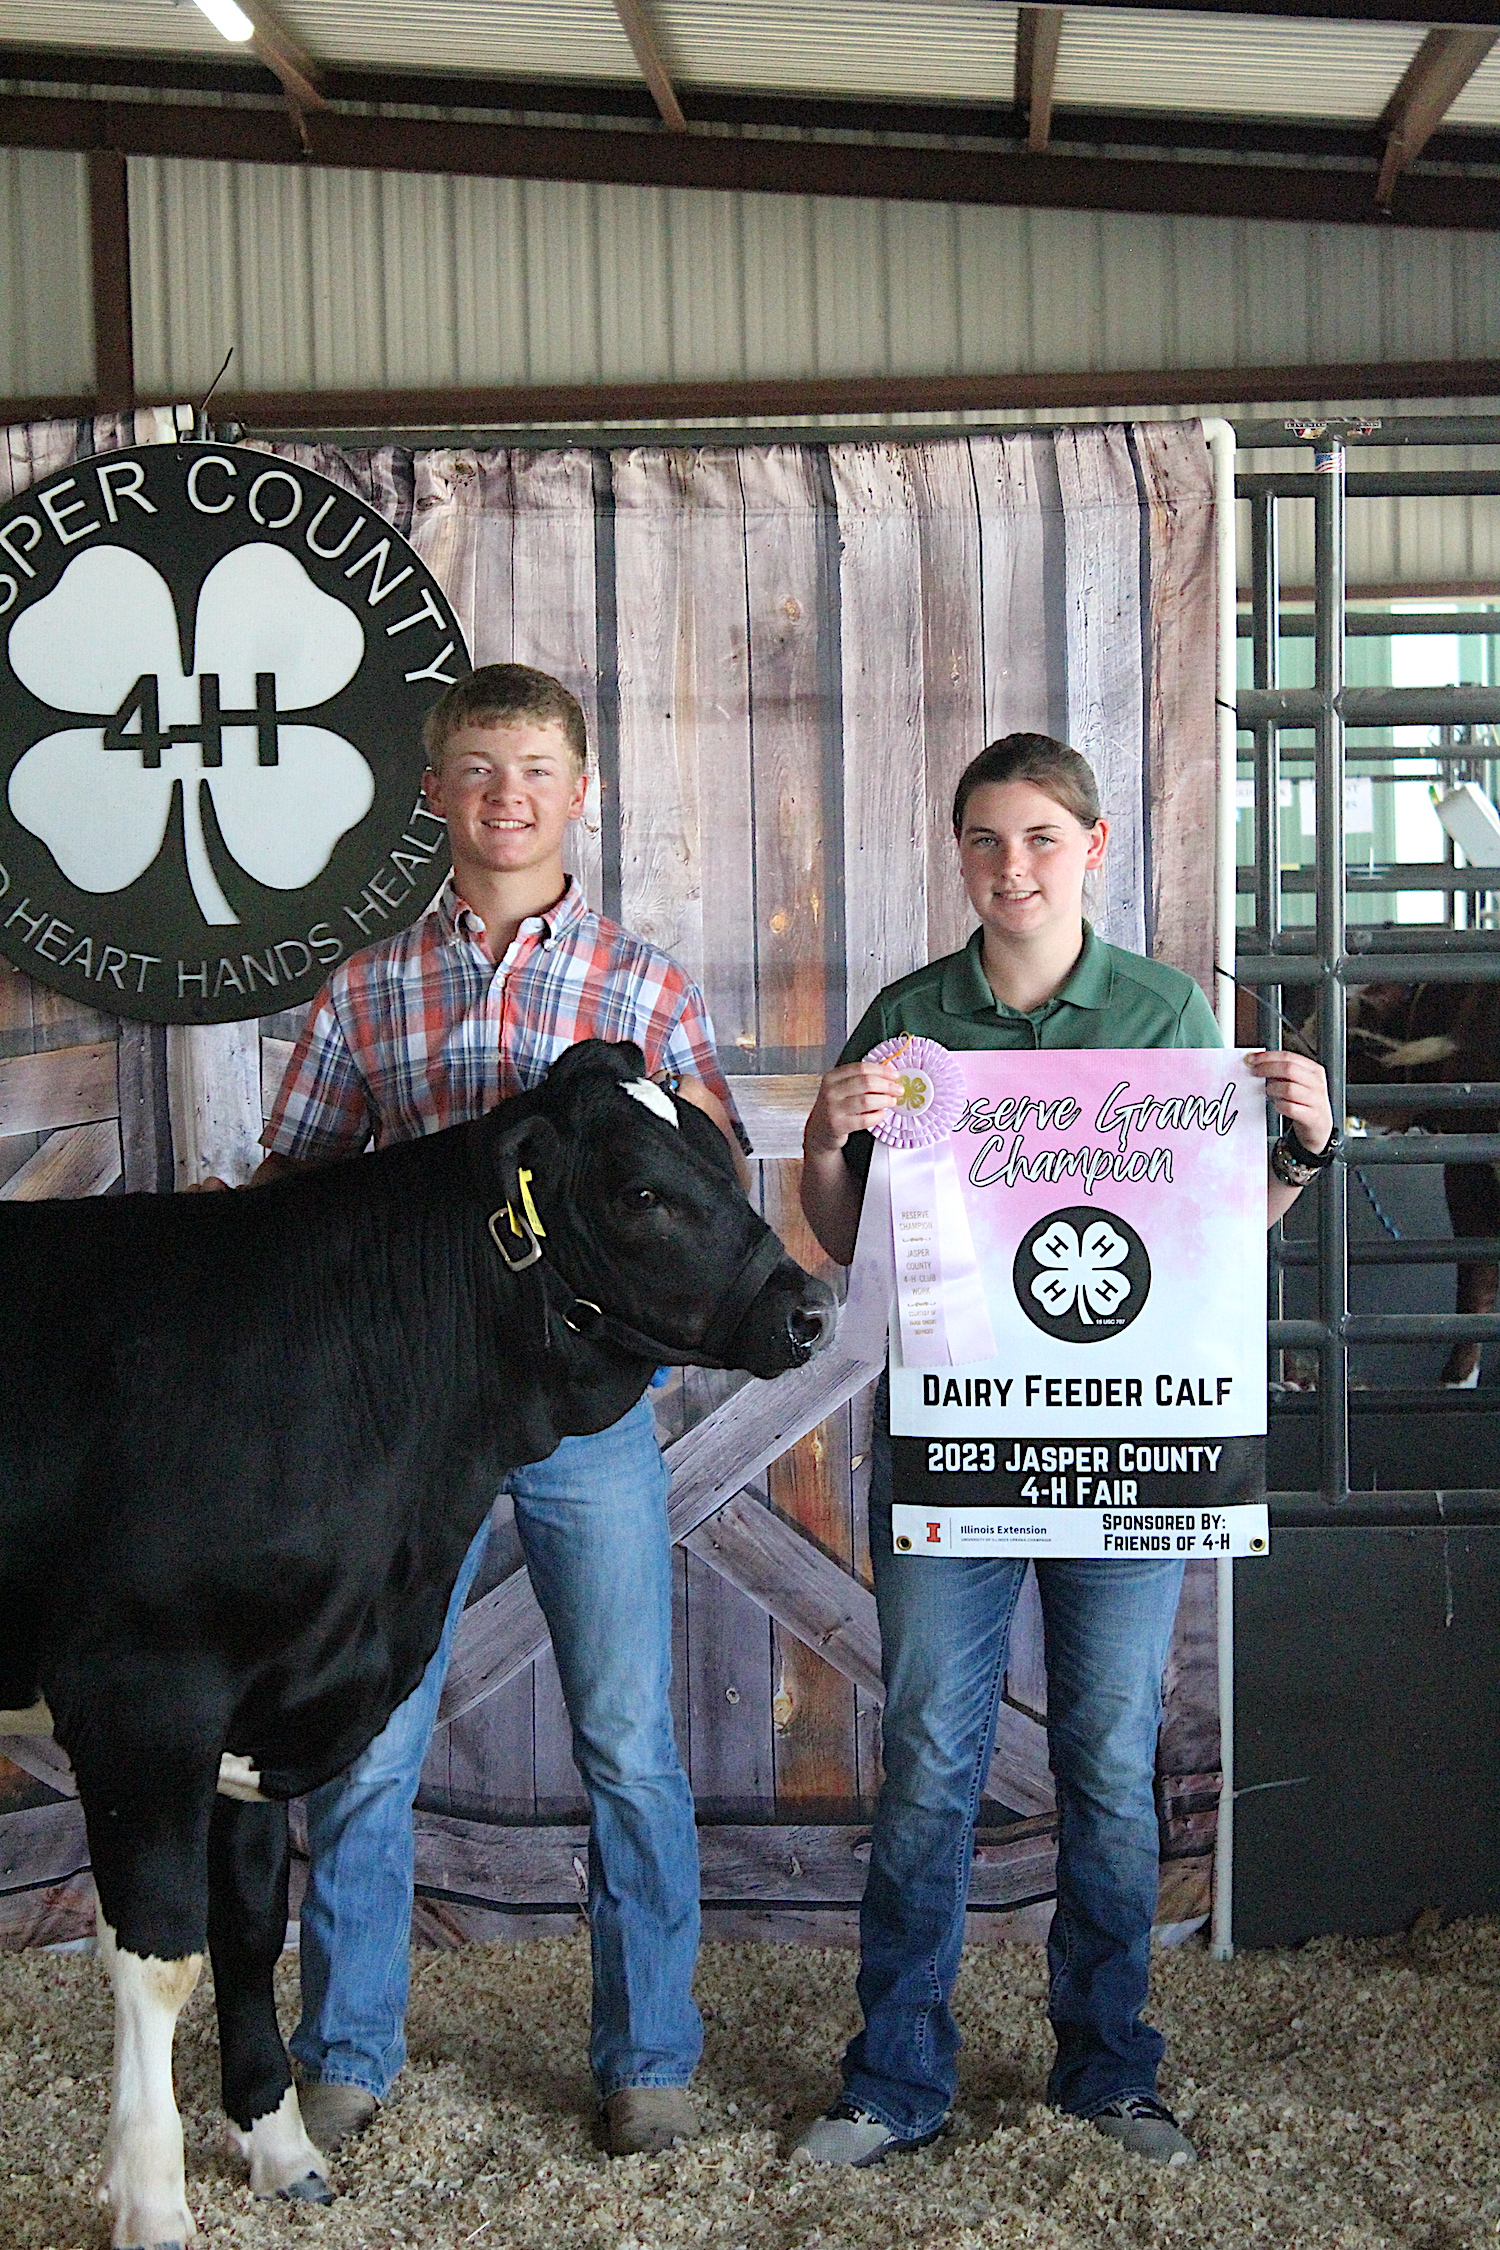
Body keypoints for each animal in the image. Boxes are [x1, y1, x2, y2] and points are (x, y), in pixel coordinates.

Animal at [0, 1038, 835, 2250]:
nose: (813, 1308)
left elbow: (249, 1927)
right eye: (640, 1193)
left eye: (720, 1157)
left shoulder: (265, 1712)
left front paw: (282, 2150)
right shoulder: (146, 1700)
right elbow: (160, 1955)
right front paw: (152, 2199)